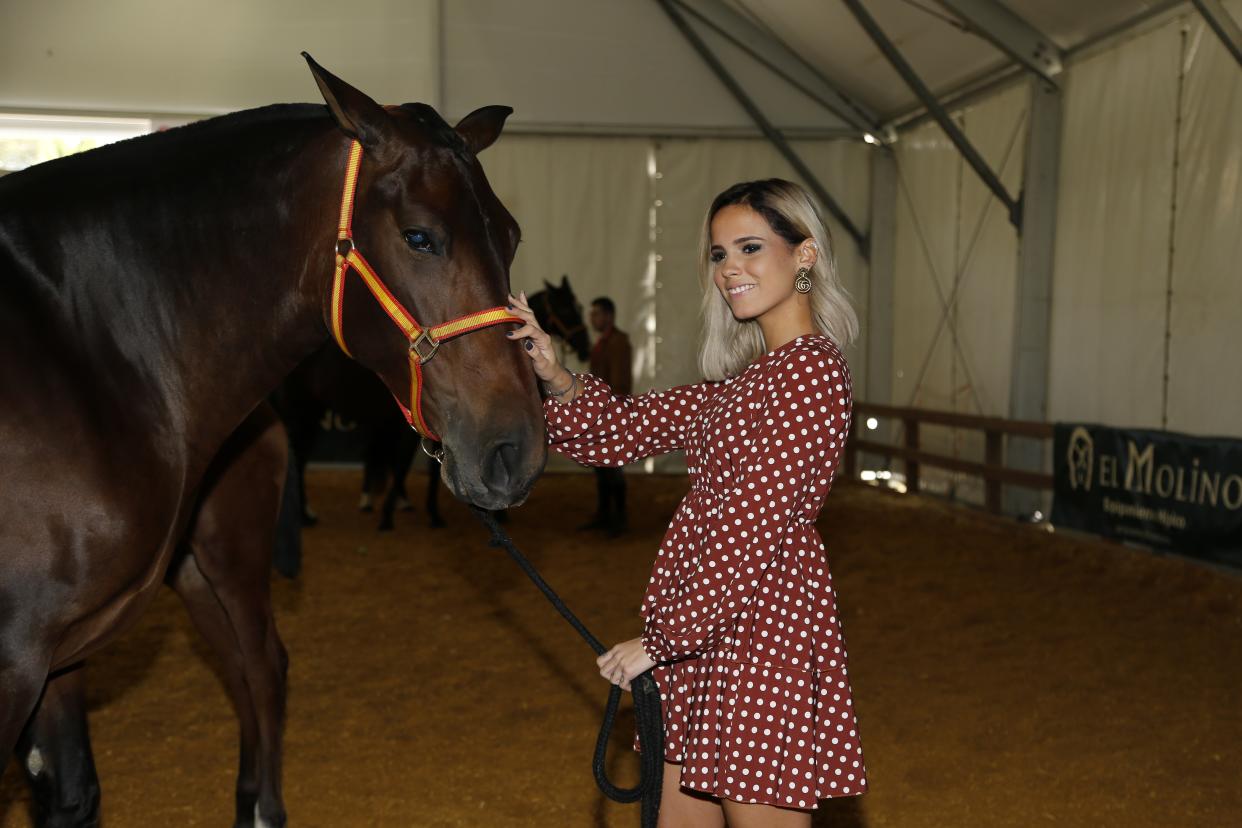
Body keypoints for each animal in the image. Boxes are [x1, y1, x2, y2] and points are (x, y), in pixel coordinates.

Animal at [0, 54, 543, 824]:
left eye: (512, 234)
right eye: (419, 237)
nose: (514, 449)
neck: (81, 343)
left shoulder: (49, 656)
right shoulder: (31, 659)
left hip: (221, 563)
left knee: (260, 667)